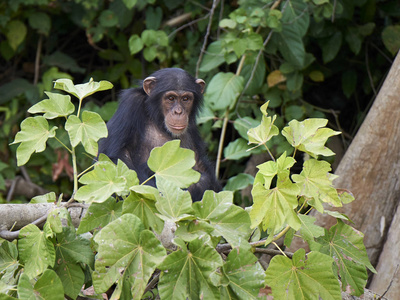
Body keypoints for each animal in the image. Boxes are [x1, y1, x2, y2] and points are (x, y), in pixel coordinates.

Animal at [98, 68, 220, 202]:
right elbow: (114, 157)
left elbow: (200, 166)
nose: (178, 112)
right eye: (171, 98)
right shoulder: (130, 104)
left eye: (186, 99)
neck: (156, 117)